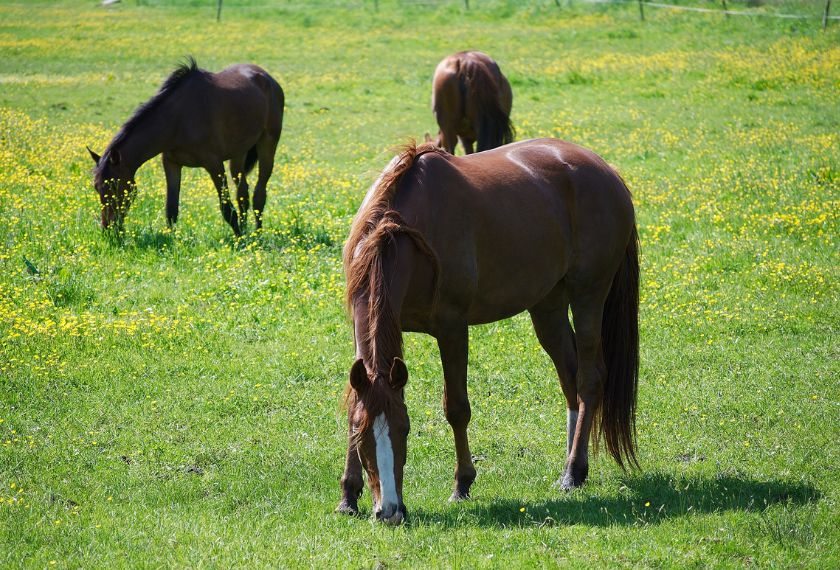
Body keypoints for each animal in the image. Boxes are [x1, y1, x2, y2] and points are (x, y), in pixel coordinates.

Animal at [87, 58, 284, 235]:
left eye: (114, 187)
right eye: (97, 187)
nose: (108, 229)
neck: (178, 119)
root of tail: (268, 79)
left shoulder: (214, 164)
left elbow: (227, 209)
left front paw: (240, 239)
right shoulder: (171, 163)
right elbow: (171, 209)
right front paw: (171, 240)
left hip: (267, 143)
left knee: (259, 195)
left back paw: (257, 234)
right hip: (238, 153)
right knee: (242, 194)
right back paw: (246, 229)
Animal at [337, 139, 639, 525]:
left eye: (404, 429)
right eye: (362, 435)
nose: (389, 510)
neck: (402, 229)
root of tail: (607, 173)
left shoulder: (452, 328)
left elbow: (456, 408)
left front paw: (462, 484)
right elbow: (354, 401)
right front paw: (348, 495)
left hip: (589, 294)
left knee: (589, 379)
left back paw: (573, 471)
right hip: (548, 306)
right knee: (569, 377)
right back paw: (573, 467)